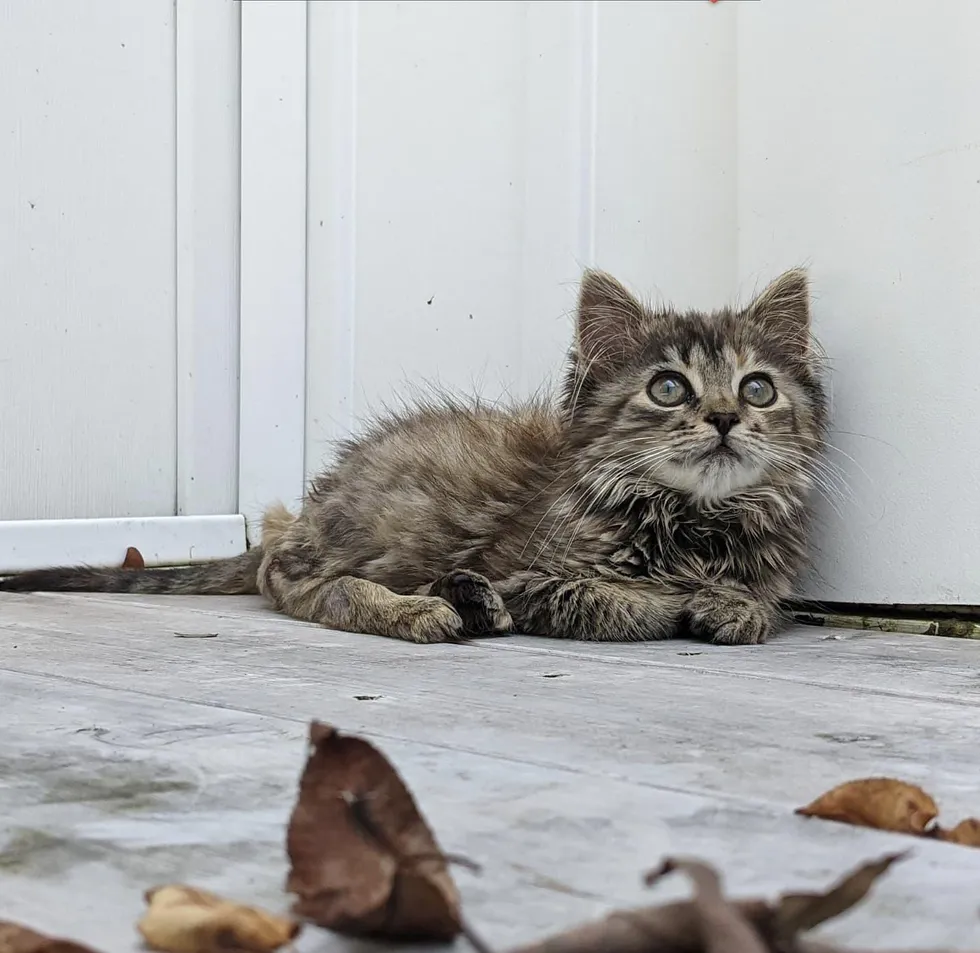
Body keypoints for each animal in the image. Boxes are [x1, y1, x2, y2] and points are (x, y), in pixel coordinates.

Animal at [0, 264, 828, 644]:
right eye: (667, 387)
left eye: (757, 388)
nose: (723, 416)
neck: (692, 520)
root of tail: (311, 506)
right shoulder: (534, 571)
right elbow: (618, 601)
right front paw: (676, 601)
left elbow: (762, 602)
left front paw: (731, 604)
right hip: (396, 517)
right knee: (296, 582)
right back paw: (420, 609)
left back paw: (466, 599)